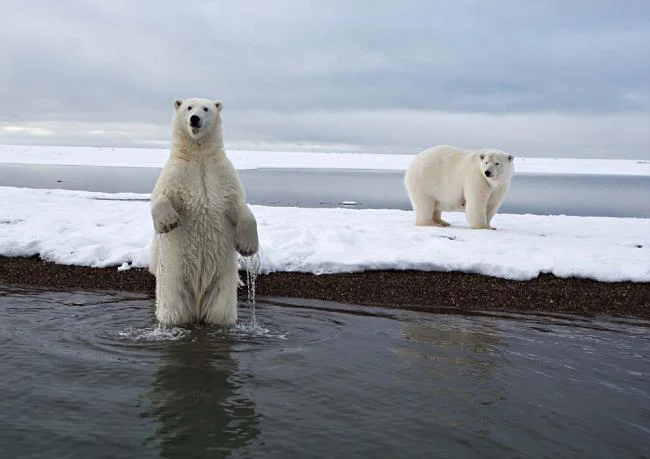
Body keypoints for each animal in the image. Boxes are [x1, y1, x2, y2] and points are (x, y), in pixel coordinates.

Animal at [148, 97, 259, 327]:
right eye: (188, 107)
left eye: (206, 108)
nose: (195, 119)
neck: (198, 157)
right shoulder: (177, 173)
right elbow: (160, 196)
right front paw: (168, 222)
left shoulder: (222, 174)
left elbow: (239, 205)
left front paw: (247, 246)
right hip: (174, 285)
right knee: (174, 311)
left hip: (221, 287)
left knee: (220, 312)